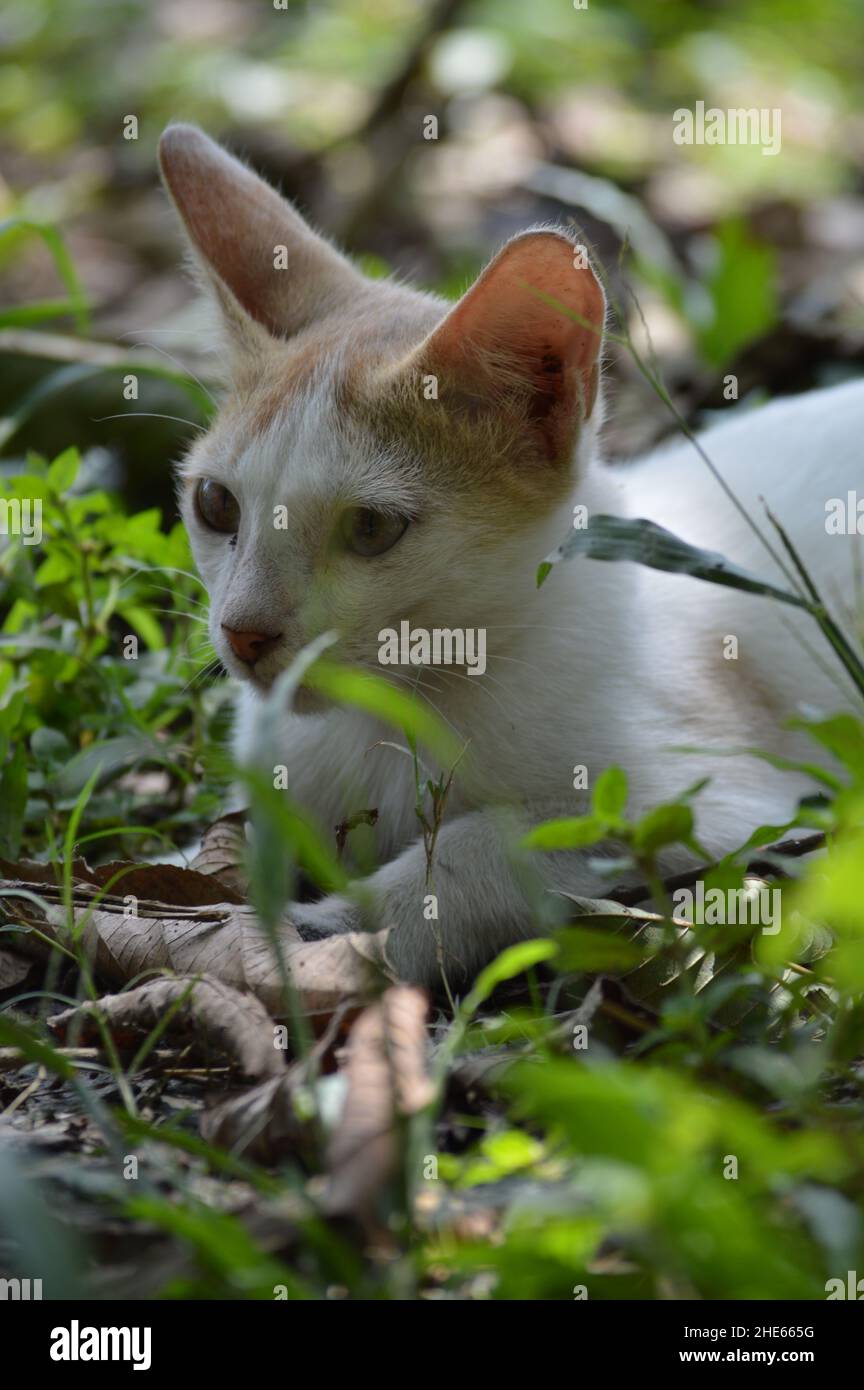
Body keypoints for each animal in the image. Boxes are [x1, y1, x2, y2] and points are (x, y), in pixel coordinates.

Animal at [161, 122, 864, 989]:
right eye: (216, 504)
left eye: (371, 528)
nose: (245, 632)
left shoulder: (738, 808)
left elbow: (492, 849)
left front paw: (341, 928)